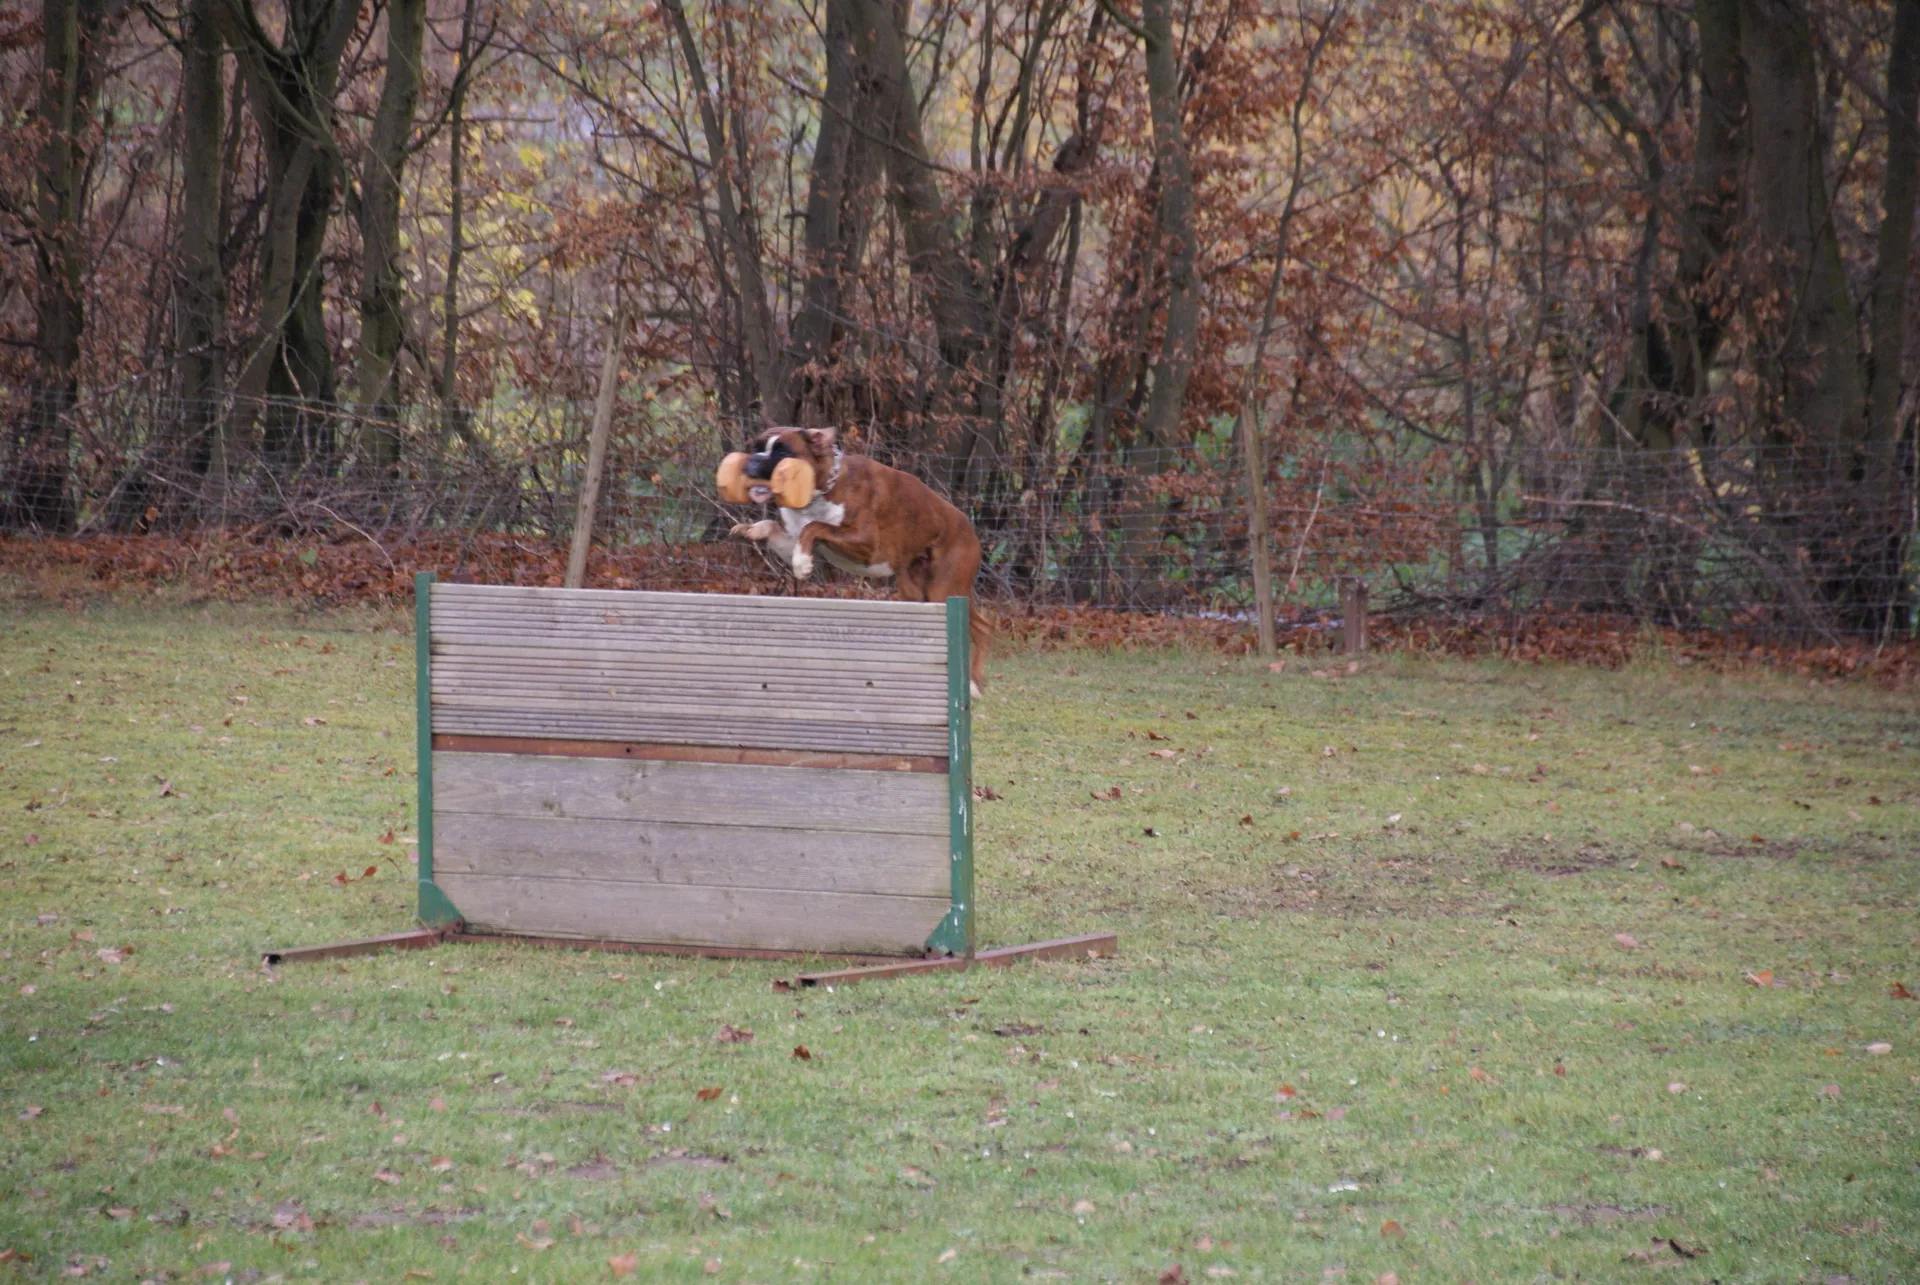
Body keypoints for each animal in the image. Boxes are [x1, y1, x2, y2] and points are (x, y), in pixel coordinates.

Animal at [727, 427, 990, 694]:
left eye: (782, 452)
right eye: (757, 447)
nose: (754, 460)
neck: (820, 490)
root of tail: (969, 527)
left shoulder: (866, 544)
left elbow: (815, 526)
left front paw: (802, 565)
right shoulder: (792, 541)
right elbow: (778, 527)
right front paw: (752, 530)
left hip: (944, 589)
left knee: (983, 628)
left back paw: (972, 685)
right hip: (918, 592)